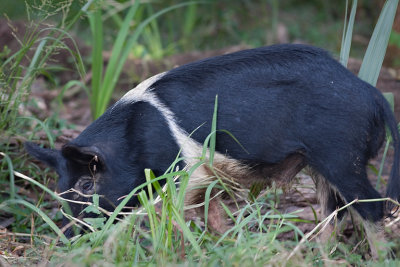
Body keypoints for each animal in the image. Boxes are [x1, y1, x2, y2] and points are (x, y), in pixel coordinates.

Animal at [25, 44, 400, 239]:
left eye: (87, 184)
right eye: (60, 188)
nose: (67, 234)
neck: (134, 141)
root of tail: (372, 94)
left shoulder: (181, 173)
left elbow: (172, 217)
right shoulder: (207, 178)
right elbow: (213, 215)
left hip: (342, 155)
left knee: (372, 207)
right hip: (322, 163)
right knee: (333, 214)